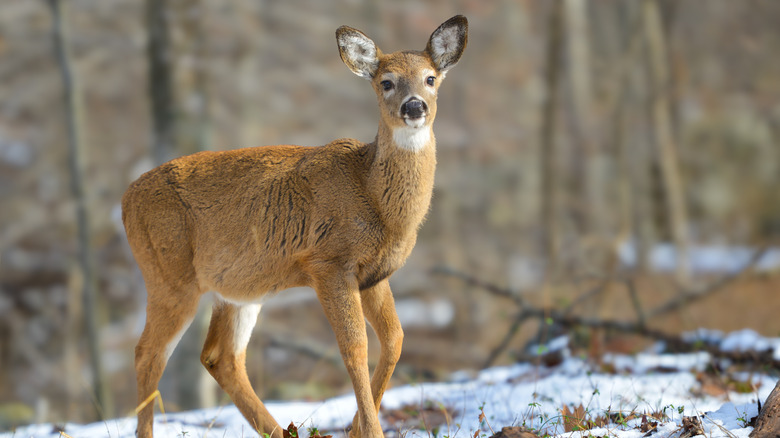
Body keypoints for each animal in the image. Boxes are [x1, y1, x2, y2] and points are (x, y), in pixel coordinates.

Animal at [122, 15, 467, 438]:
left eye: (430, 78)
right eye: (386, 81)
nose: (414, 105)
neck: (375, 198)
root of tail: (126, 199)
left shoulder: (373, 274)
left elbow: (395, 339)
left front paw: (357, 427)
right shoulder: (328, 262)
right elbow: (354, 349)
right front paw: (369, 430)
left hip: (238, 289)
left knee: (221, 357)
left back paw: (279, 430)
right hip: (168, 274)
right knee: (148, 354)